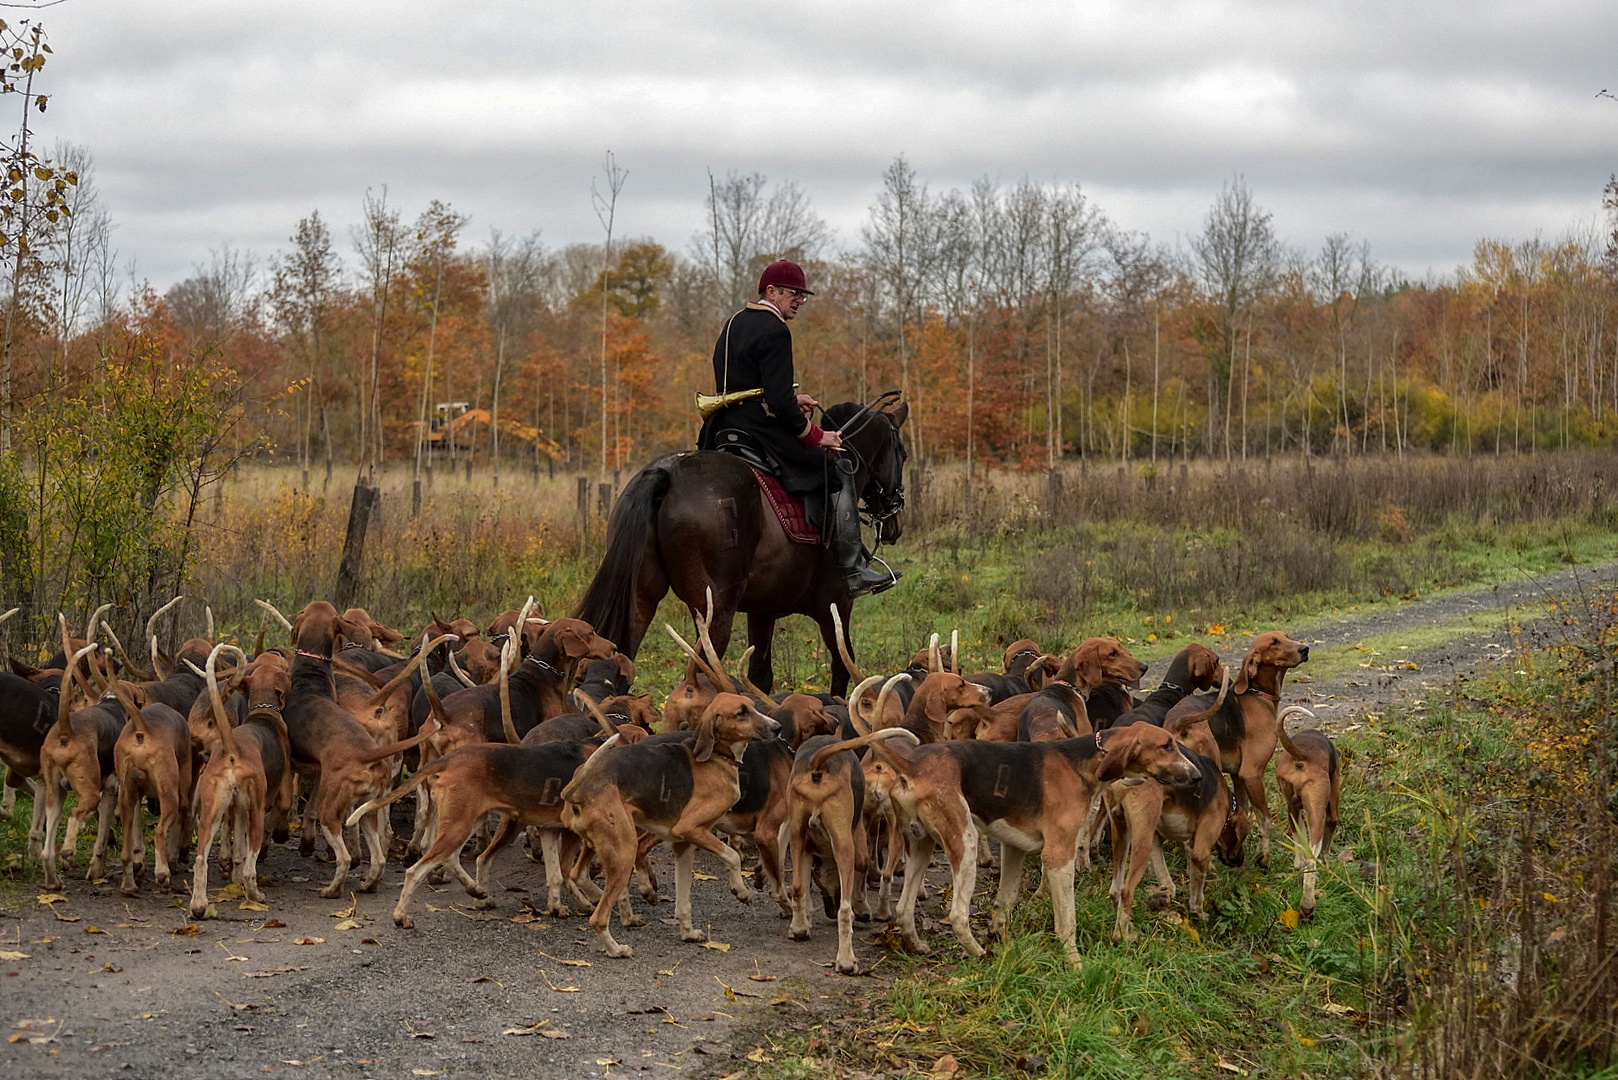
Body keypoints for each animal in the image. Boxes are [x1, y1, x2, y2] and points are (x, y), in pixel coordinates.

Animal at [572, 399, 906, 702]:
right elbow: (843, 669)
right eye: (901, 454)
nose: (895, 522)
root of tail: (667, 474)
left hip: (641, 599)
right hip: (716, 612)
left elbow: (760, 676)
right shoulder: (835, 606)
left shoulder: (762, 612)